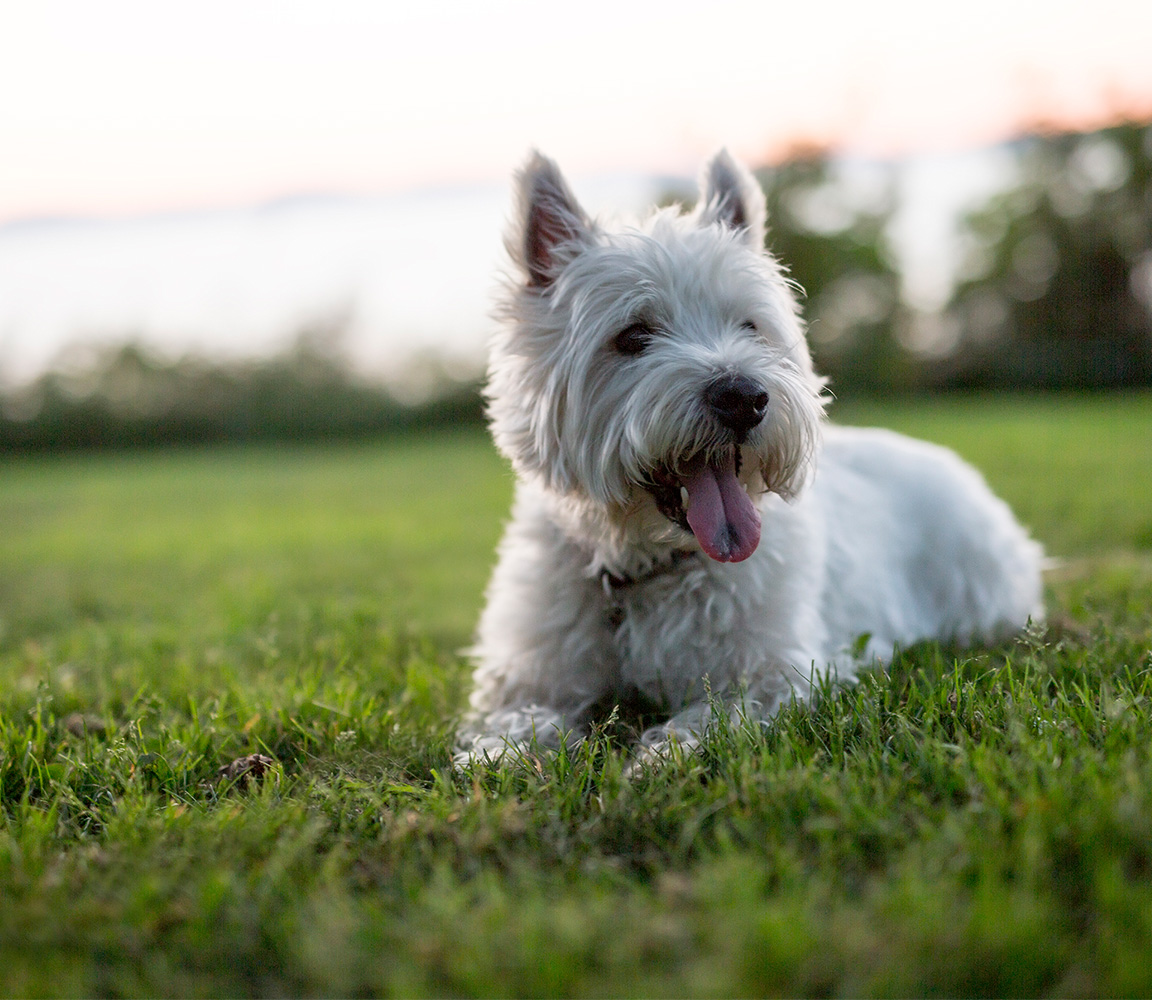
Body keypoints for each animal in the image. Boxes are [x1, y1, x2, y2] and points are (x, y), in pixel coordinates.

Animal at [456, 146, 1046, 755]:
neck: (644, 570)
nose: (743, 397)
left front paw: (663, 753)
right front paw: (503, 753)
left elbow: (718, 711)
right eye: (633, 336)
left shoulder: (779, 670)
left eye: (749, 325)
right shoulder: (530, 672)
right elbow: (518, 718)